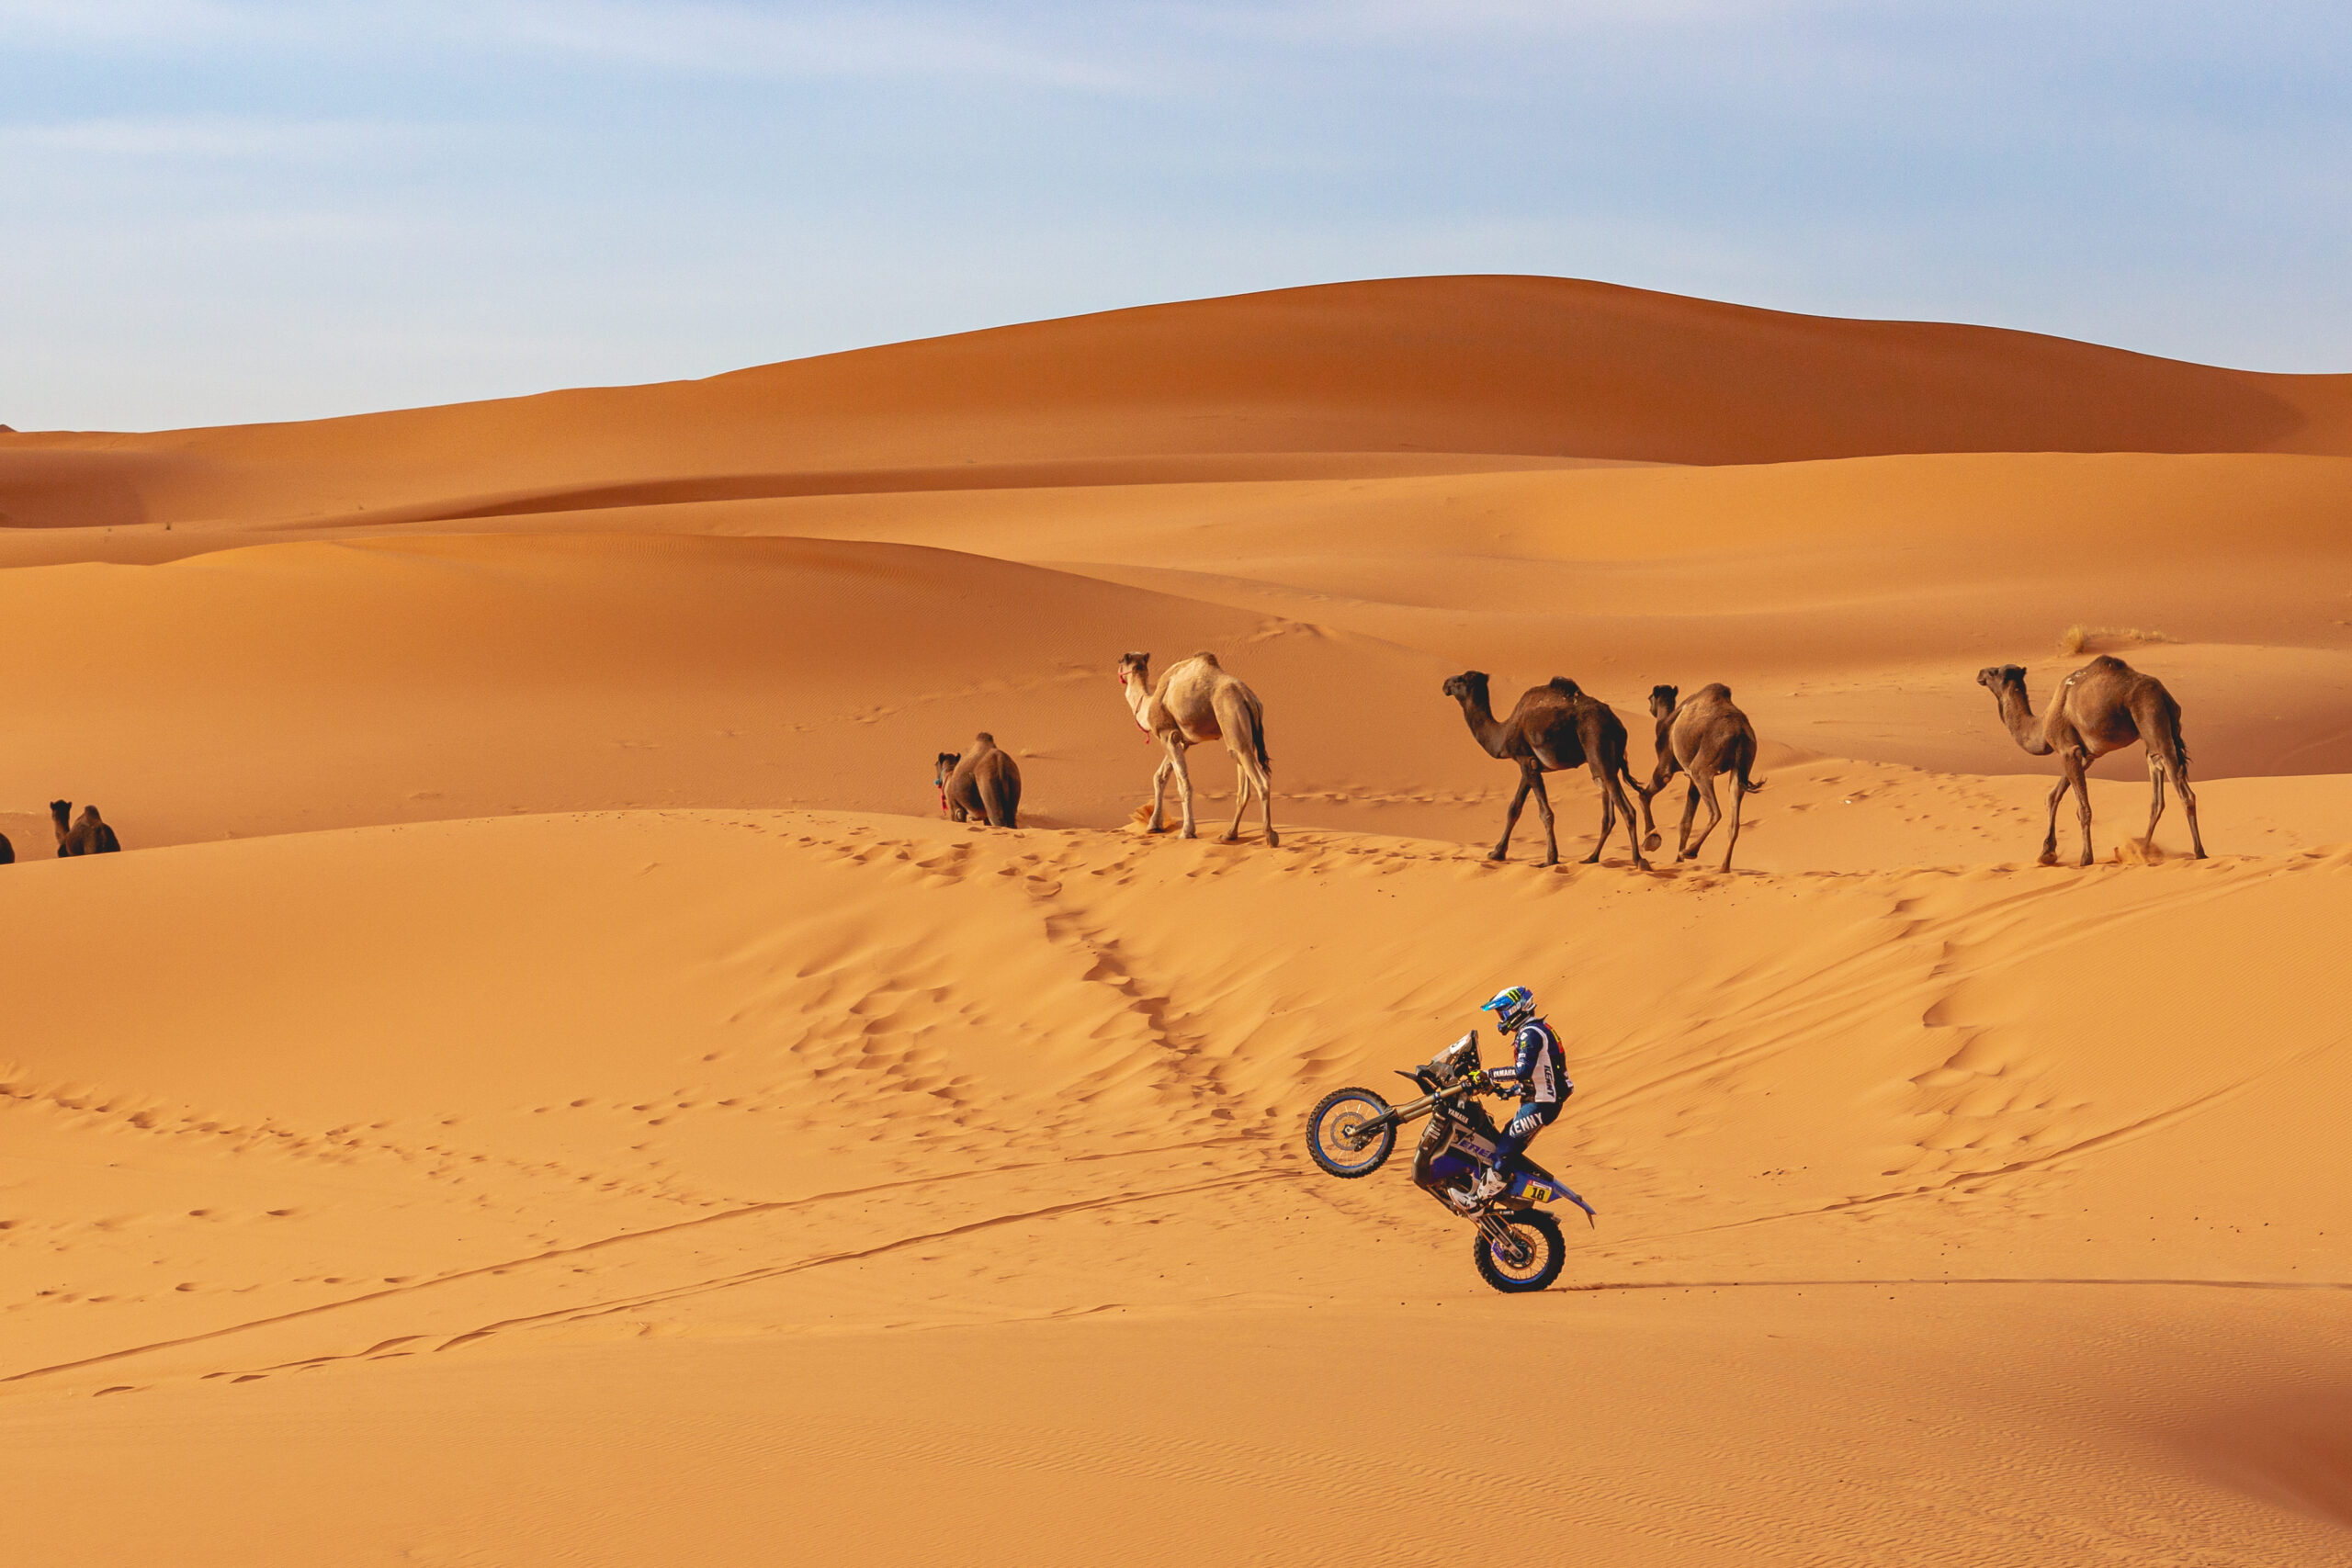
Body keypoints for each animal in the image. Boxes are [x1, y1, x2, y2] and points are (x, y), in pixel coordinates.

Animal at [1114, 649, 1279, 846]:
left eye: (1120, 661)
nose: (1119, 673)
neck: (1147, 706)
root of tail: (1249, 698)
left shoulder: (1167, 734)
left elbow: (1183, 784)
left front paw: (1186, 832)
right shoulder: (1182, 740)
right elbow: (1160, 776)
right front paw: (1154, 825)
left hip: (1232, 717)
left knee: (1261, 781)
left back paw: (1270, 836)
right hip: (1243, 738)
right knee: (1243, 785)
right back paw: (1229, 834)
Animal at [1430, 667, 1656, 869]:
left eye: (1461, 679)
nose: (1445, 684)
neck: (1503, 732)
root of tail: (1618, 725)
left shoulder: (1525, 759)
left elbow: (1545, 813)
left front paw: (1549, 859)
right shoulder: (1529, 764)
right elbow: (1514, 808)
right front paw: (1496, 853)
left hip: (1598, 748)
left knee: (1627, 809)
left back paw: (1639, 860)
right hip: (1607, 762)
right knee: (1608, 813)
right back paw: (1591, 858)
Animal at [1636, 682, 1769, 879]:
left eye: (1649, 697)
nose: (1651, 709)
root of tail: (1739, 733)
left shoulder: (1666, 766)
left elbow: (1644, 796)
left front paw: (1651, 839)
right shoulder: (1690, 777)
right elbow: (1685, 822)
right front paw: (1677, 860)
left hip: (1702, 767)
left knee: (1716, 812)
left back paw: (1691, 852)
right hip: (1741, 766)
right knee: (1734, 821)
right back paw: (1723, 867)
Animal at [1984, 653, 2201, 869]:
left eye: (1994, 672)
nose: (1980, 673)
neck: (2042, 724)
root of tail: (2165, 695)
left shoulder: (2067, 750)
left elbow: (2082, 808)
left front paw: (2085, 858)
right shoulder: (2085, 755)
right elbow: (2053, 795)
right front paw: (2046, 853)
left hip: (2152, 718)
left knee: (2185, 793)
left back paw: (2198, 851)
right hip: (2158, 734)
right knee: (2157, 792)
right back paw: (2139, 850)